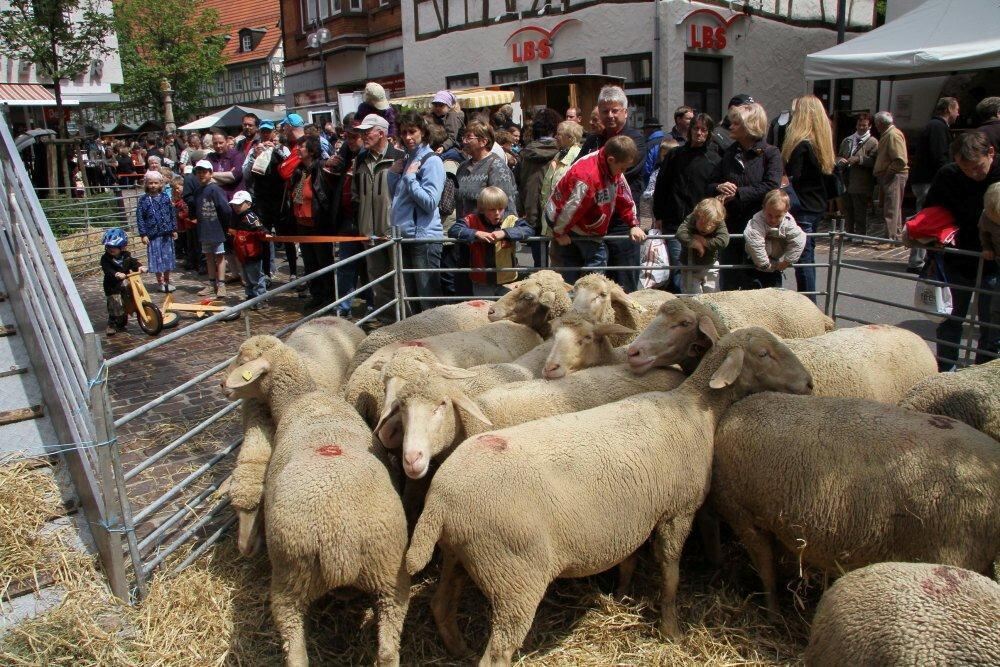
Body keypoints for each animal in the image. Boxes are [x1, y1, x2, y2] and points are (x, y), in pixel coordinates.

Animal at [226, 340, 410, 667]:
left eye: (242, 359)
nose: (223, 386)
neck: (302, 397)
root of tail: (340, 542)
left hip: (289, 578)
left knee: (295, 647)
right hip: (390, 572)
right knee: (389, 647)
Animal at [402, 326, 808, 664]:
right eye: (764, 353)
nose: (808, 383)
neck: (697, 409)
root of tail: (440, 500)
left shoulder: (633, 515)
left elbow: (628, 559)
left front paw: (622, 595)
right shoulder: (677, 511)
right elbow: (671, 572)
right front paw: (671, 630)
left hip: (460, 554)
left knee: (441, 606)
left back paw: (458, 649)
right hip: (513, 574)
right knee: (499, 650)